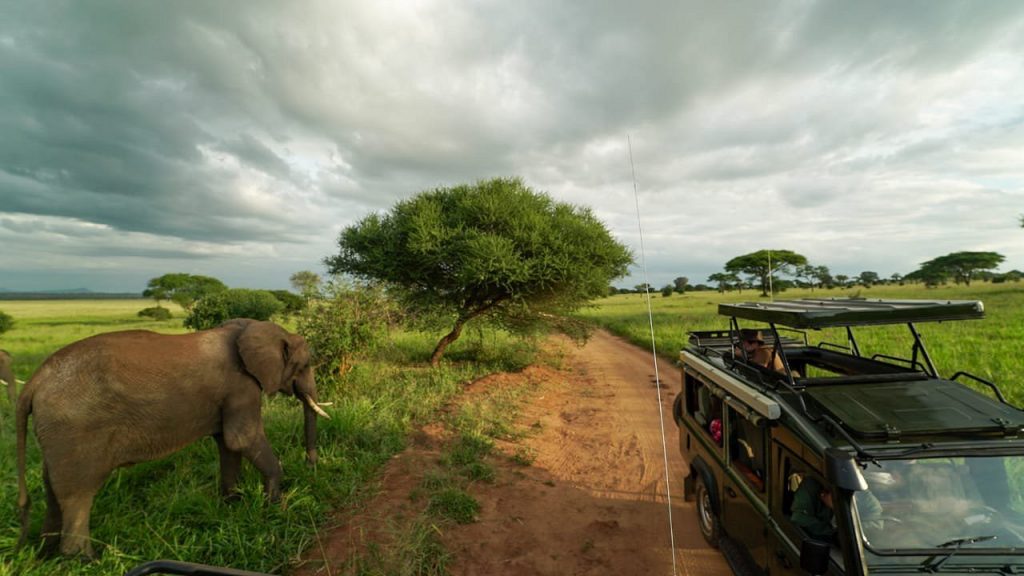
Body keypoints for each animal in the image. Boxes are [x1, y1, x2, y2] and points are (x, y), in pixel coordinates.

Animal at [16, 317, 329, 557]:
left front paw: (233, 505)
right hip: (74, 429)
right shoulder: (240, 386)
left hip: (57, 434)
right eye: (304, 366)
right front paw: (274, 506)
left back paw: (46, 555)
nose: (311, 466)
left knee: (53, 490)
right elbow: (242, 438)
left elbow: (228, 445)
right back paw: (84, 560)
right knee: (79, 494)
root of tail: (33, 382)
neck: (250, 328)